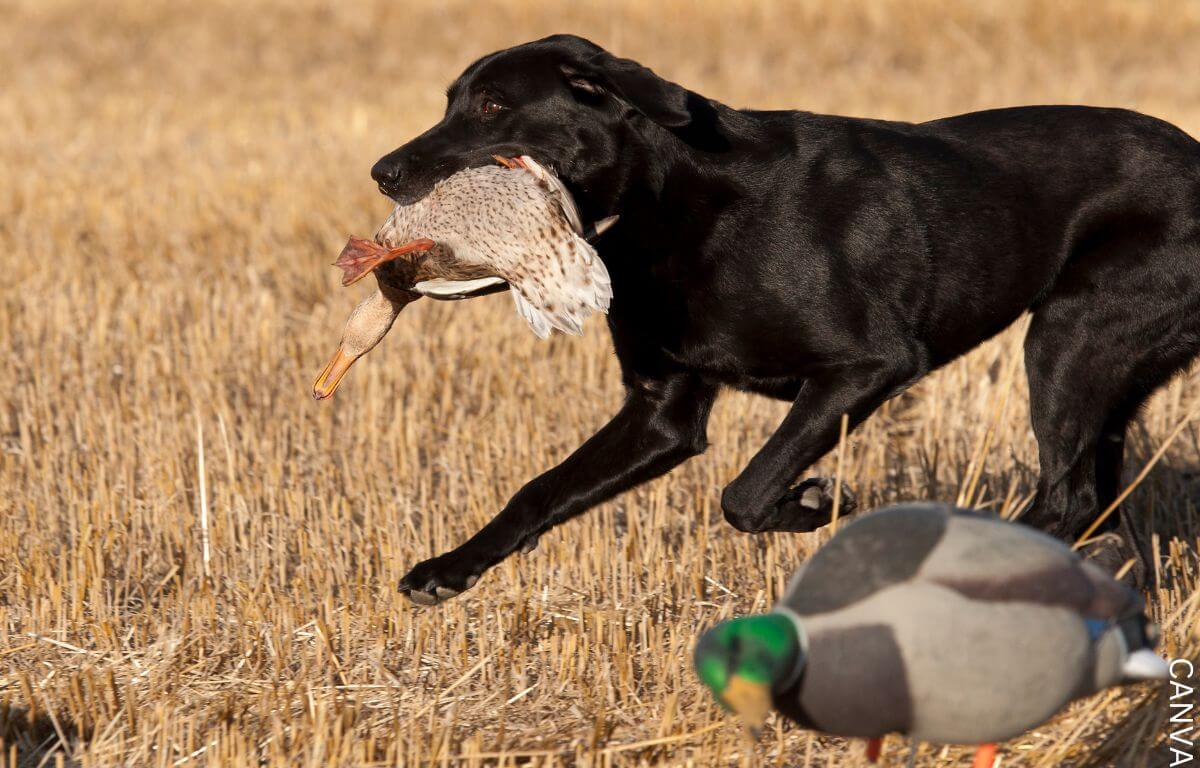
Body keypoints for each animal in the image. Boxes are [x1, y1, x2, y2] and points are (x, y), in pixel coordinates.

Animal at [369, 34, 1200, 604]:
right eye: (450, 101)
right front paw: (451, 568)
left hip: (1067, 341)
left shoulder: (869, 364)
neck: (670, 198)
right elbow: (541, 488)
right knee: (1096, 503)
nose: (382, 171)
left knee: (1067, 498)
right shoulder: (661, 411)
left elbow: (744, 493)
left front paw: (815, 503)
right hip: (1106, 378)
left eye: (493, 105)